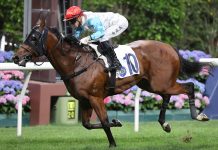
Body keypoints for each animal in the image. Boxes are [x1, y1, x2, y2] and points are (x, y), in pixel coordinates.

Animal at [13, 17, 209, 147]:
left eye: (33, 37)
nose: (16, 57)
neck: (76, 61)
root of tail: (170, 47)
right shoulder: (85, 100)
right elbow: (87, 125)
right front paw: (117, 124)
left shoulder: (96, 98)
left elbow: (105, 122)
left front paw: (113, 141)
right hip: (152, 84)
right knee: (168, 95)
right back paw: (165, 124)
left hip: (161, 83)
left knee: (189, 86)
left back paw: (198, 115)